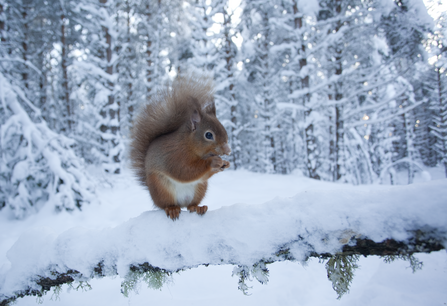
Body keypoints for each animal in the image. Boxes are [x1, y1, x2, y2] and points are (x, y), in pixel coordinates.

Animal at [130, 74, 231, 220]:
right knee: (167, 204)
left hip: (199, 189)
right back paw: (172, 209)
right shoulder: (173, 156)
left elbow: (201, 175)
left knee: (190, 205)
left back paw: (198, 207)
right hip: (161, 188)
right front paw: (213, 162)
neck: (189, 144)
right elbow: (184, 171)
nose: (228, 151)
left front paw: (225, 164)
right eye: (208, 135)